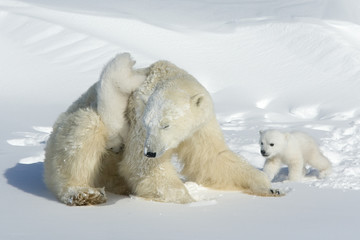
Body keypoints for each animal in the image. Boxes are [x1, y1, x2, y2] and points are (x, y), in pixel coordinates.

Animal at [44, 53, 282, 205]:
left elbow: (211, 159)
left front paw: (271, 187)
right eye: (149, 125)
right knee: (83, 133)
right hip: (70, 131)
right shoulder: (137, 117)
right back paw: (83, 193)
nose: (150, 152)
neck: (165, 75)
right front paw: (191, 201)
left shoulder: (201, 124)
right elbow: (143, 167)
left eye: (166, 124)